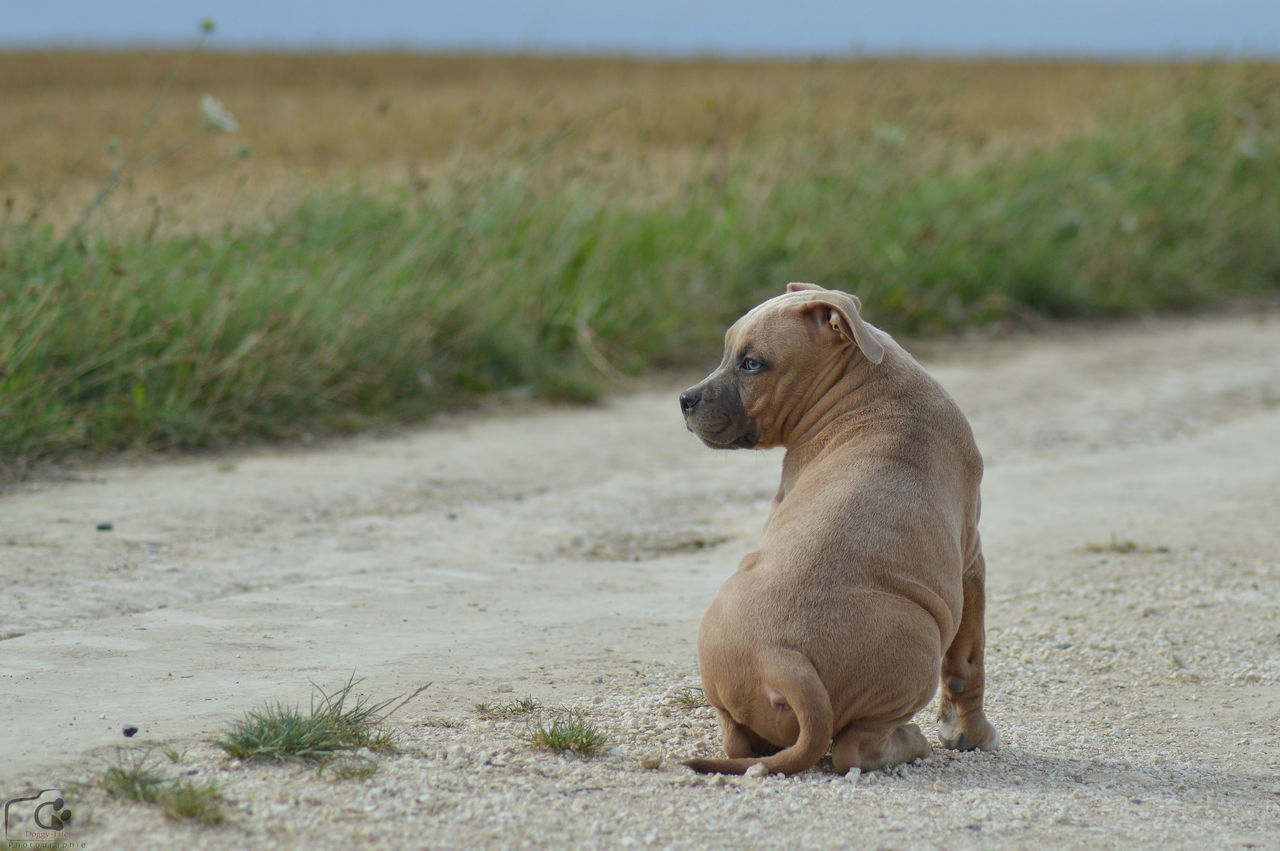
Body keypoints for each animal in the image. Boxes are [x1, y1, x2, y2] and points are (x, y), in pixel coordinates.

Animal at [680, 281, 998, 772]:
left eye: (751, 363)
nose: (684, 400)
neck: (867, 383)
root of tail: (779, 658)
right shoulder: (971, 560)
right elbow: (968, 661)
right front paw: (971, 735)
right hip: (919, 641)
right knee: (854, 749)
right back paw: (911, 742)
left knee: (741, 742)